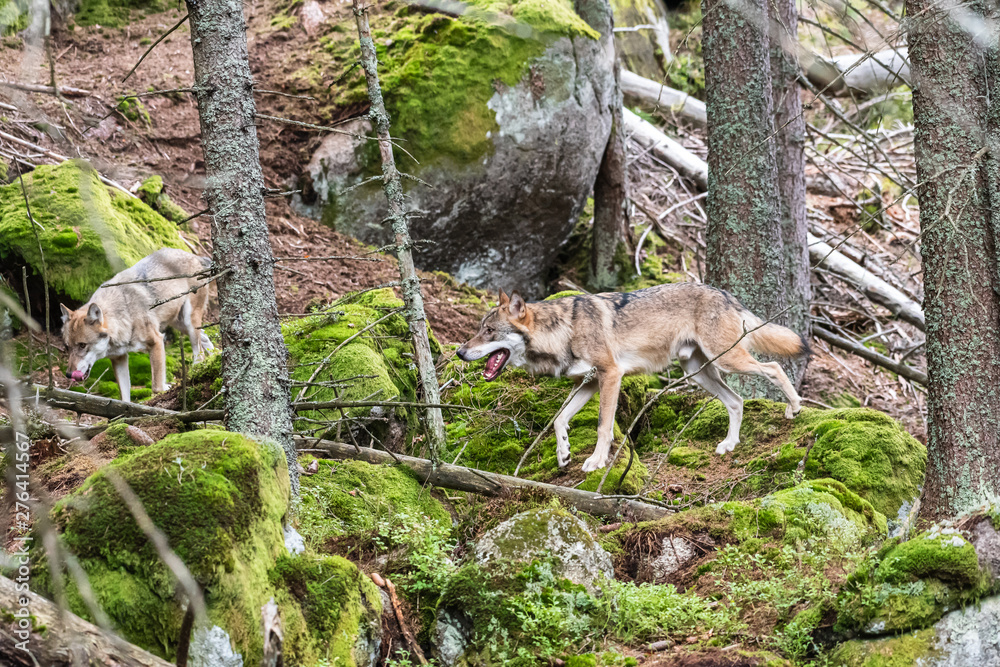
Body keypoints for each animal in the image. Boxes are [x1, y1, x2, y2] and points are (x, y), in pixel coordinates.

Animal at [60, 248, 214, 403]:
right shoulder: (119, 358)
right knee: (205, 338)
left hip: (189, 323)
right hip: (180, 324)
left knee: (199, 353)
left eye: (82, 345)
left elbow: (156, 387)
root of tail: (195, 256)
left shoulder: (157, 341)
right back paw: (214, 357)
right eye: (67, 347)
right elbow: (124, 397)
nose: (68, 374)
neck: (124, 316)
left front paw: (166, 388)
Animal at [456, 284, 808, 472]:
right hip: (698, 371)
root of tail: (724, 294)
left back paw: (794, 407)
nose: (459, 352)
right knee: (736, 401)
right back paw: (729, 444)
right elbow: (559, 420)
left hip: (727, 360)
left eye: (489, 331)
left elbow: (603, 426)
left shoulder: (611, 375)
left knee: (774, 368)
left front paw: (596, 461)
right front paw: (563, 453)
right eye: (479, 329)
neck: (564, 330)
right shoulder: (587, 382)